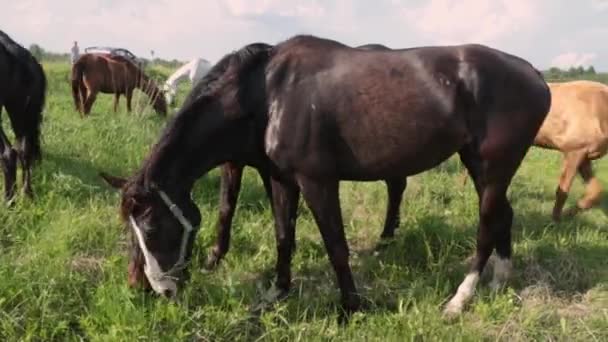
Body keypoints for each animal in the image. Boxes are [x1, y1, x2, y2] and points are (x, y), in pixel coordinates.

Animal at [98, 36, 552, 320]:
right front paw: (277, 291)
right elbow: (284, 235)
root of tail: (534, 74)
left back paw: (460, 299)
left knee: (486, 227)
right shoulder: (281, 179)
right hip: (479, 166)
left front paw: (351, 305)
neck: (267, 93)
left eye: (151, 228)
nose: (154, 289)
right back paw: (500, 282)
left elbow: (336, 245)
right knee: (503, 217)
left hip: (493, 167)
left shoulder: (317, 181)